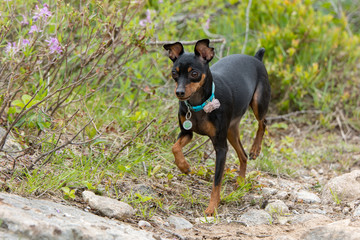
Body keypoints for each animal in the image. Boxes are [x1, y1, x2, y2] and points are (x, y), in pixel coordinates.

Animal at [163, 39, 270, 216]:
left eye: (194, 74)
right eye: (174, 73)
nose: (179, 92)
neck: (200, 104)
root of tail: (256, 58)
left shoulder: (221, 148)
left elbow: (216, 181)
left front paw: (212, 208)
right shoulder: (186, 133)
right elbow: (175, 148)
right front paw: (184, 167)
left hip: (258, 104)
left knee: (263, 123)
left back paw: (255, 149)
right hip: (231, 130)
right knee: (243, 155)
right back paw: (241, 182)